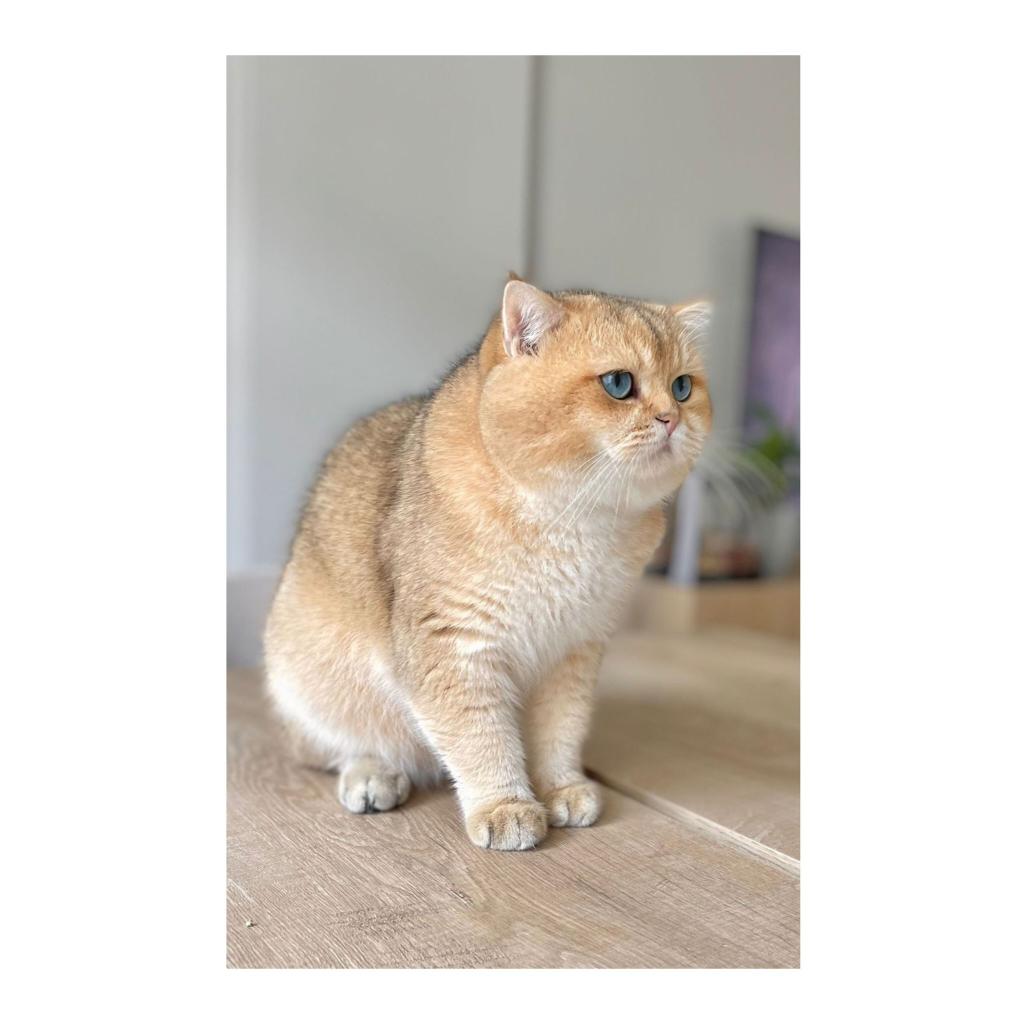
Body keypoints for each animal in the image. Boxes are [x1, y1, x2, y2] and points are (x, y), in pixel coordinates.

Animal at [263, 279, 712, 851]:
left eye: (683, 387)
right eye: (618, 383)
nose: (672, 418)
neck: (573, 522)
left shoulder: (573, 652)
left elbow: (560, 729)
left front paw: (561, 787)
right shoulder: (453, 646)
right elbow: (481, 737)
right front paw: (506, 807)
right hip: (307, 680)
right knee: (339, 745)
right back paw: (372, 774)